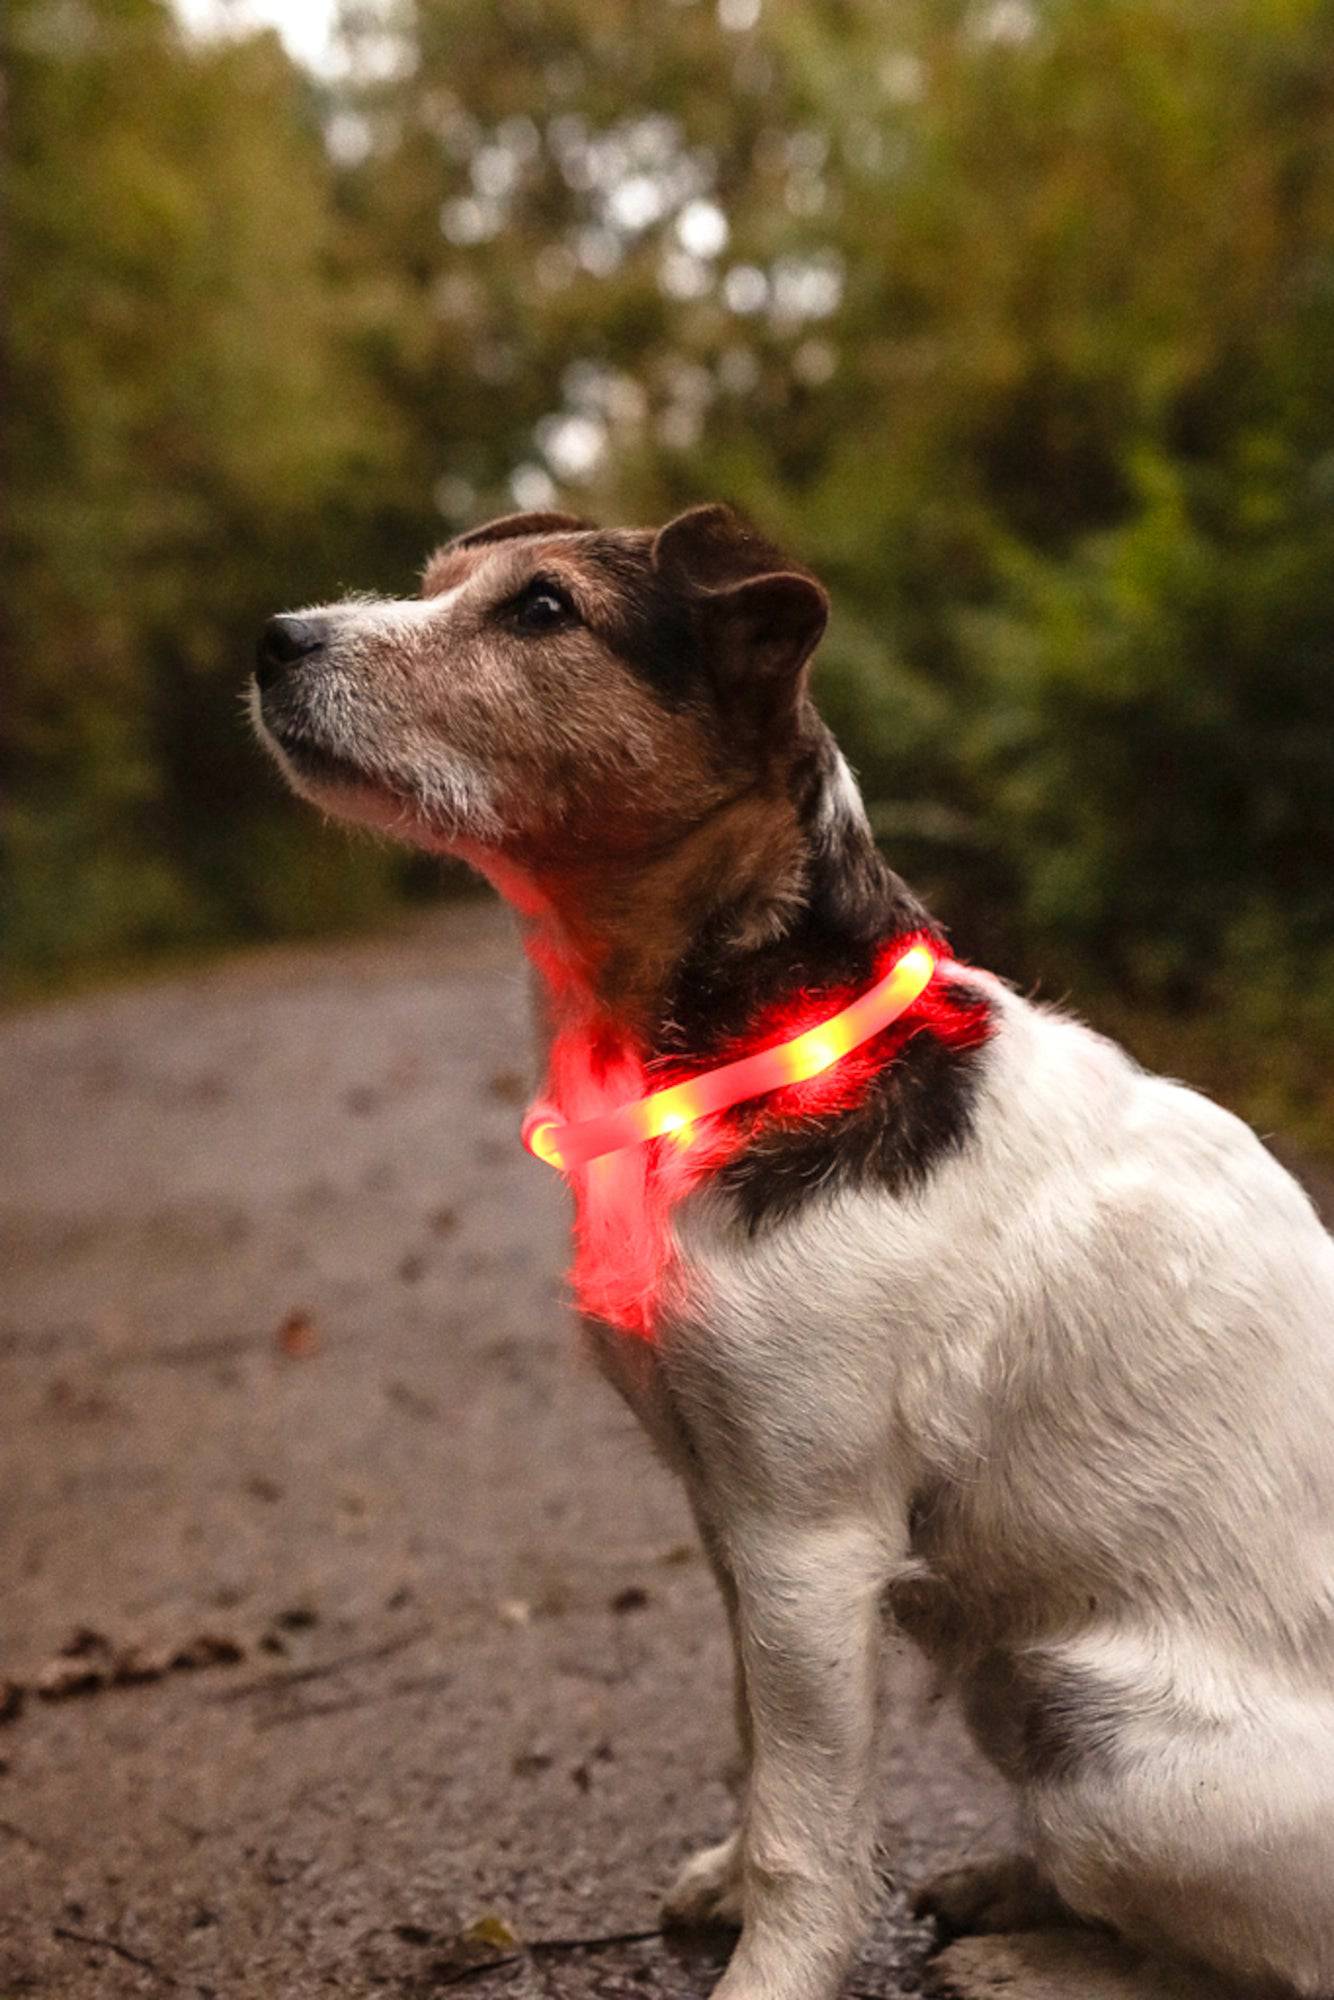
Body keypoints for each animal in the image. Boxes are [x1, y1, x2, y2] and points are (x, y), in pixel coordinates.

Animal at [256, 504, 1334, 2000]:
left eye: (542, 610)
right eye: (434, 584)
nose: (270, 638)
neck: (762, 1035)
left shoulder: (806, 1541)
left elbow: (809, 1828)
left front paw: (770, 1966)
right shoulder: (726, 1512)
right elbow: (754, 1749)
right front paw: (725, 1873)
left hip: (1107, 1743)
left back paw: (1027, 1955)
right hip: (1016, 1679)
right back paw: (1009, 1888)